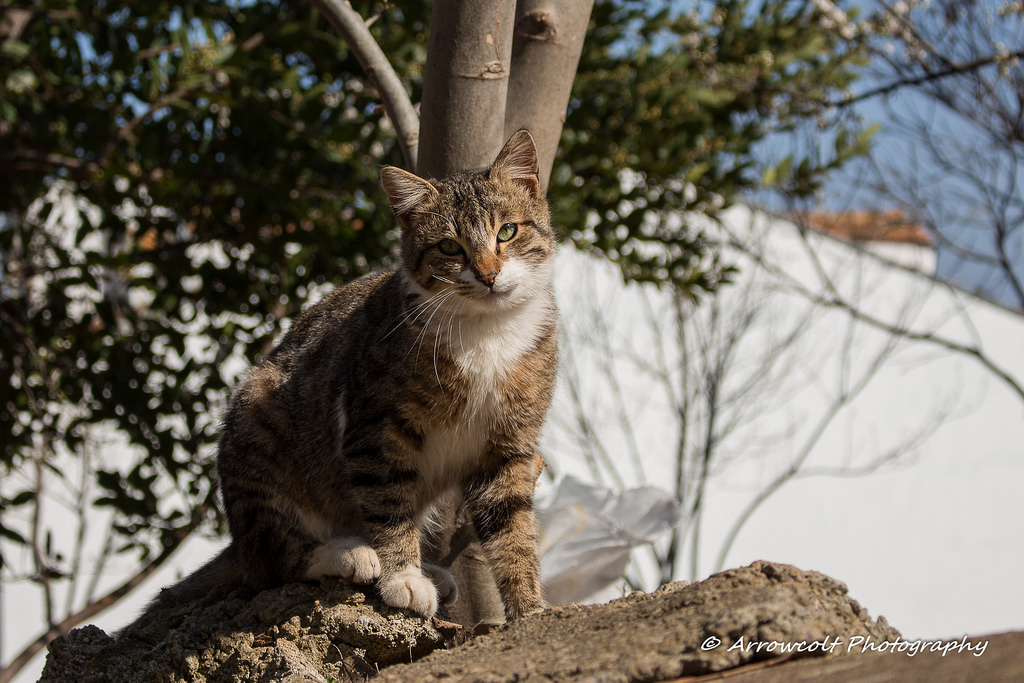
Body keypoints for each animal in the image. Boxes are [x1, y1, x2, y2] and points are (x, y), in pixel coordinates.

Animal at [165, 131, 561, 622]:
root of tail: (237, 542)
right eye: (449, 247)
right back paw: (349, 554)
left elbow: (513, 529)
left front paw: (530, 611)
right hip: (257, 419)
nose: (488, 275)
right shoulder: (374, 428)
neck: (488, 332)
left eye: (508, 231)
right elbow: (388, 503)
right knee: (273, 562)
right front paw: (403, 578)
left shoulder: (508, 444)